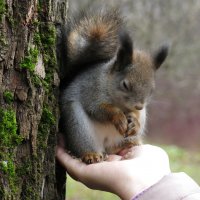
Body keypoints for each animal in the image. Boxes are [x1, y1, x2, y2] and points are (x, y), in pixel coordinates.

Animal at [58, 8, 168, 164]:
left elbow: (133, 115)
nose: (139, 106)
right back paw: (91, 154)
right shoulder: (92, 91)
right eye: (125, 85)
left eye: (152, 90)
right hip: (78, 125)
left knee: (113, 148)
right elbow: (99, 109)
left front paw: (134, 121)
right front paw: (118, 117)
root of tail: (105, 144)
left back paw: (130, 143)